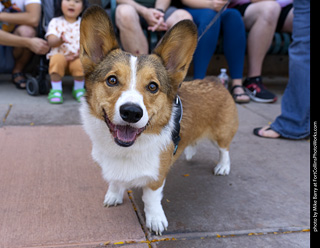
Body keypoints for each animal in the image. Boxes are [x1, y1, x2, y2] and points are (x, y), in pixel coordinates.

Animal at [78, 5, 238, 234]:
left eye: (153, 86)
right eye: (112, 80)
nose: (131, 112)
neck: (125, 149)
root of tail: (215, 80)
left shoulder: (156, 177)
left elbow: (151, 198)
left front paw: (155, 220)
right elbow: (116, 182)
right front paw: (114, 195)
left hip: (222, 133)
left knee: (224, 150)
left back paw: (223, 167)